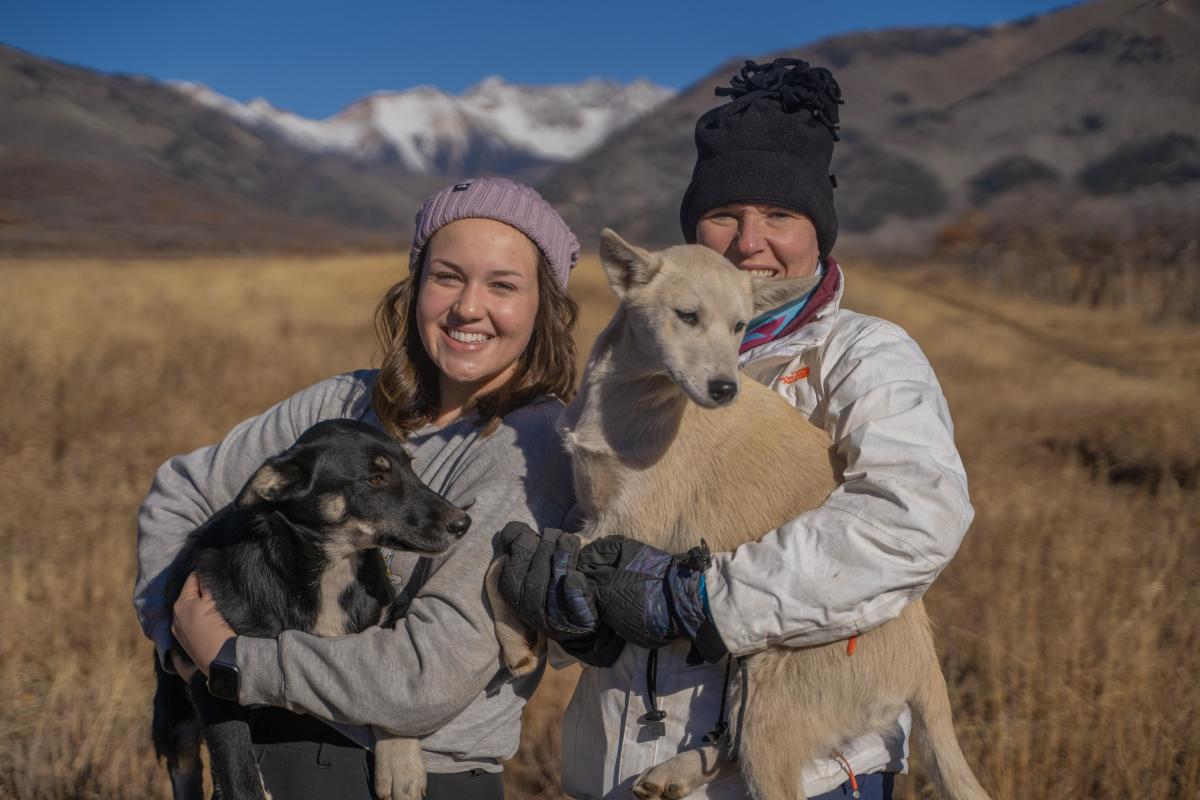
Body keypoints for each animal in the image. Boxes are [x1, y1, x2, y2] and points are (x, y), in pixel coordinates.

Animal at [151, 419, 468, 800]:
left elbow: (393, 696)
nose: (463, 523)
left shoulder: (381, 623)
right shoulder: (207, 679)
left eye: (411, 466)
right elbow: (241, 776)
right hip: (174, 709)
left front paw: (401, 764)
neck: (334, 571)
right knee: (185, 763)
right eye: (376, 479)